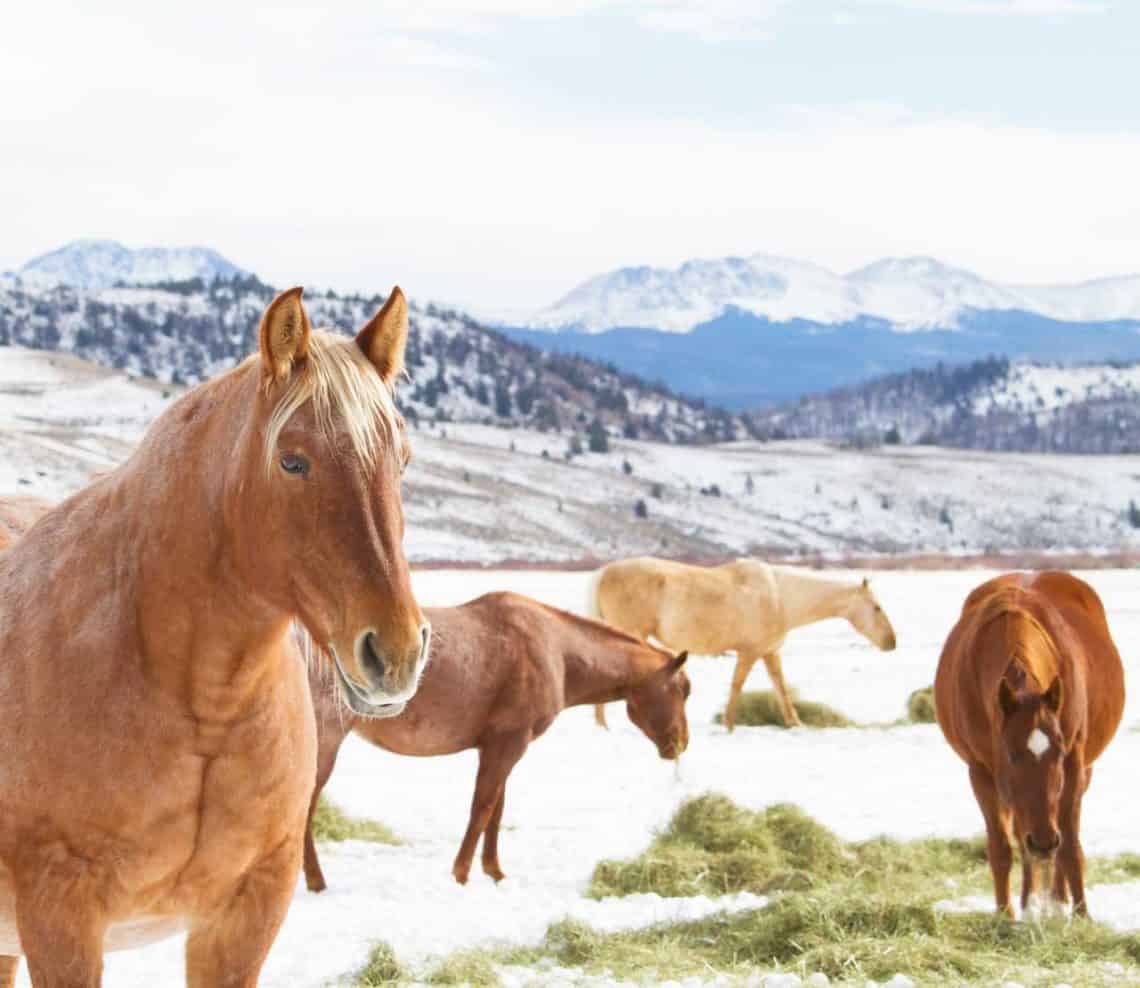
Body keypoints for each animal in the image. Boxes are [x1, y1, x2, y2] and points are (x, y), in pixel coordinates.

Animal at [303, 592, 688, 893]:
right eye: (683, 689)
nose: (680, 743)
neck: (556, 650)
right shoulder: (508, 744)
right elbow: (483, 807)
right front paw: (461, 873)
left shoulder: (499, 748)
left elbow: (496, 810)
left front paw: (494, 870)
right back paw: (315, 880)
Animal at [588, 560, 898, 729]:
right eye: (877, 608)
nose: (891, 642)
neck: (781, 597)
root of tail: (603, 573)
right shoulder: (750, 652)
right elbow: (738, 685)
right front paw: (728, 723)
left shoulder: (770, 652)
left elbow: (780, 686)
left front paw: (794, 722)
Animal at [930, 572, 1126, 920]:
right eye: (1011, 754)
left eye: (1059, 753)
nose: (1044, 842)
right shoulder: (982, 772)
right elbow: (1001, 848)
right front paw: (1005, 915)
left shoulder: (1073, 765)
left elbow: (1070, 845)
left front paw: (1081, 916)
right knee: (1023, 837)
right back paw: (1028, 901)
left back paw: (1057, 899)